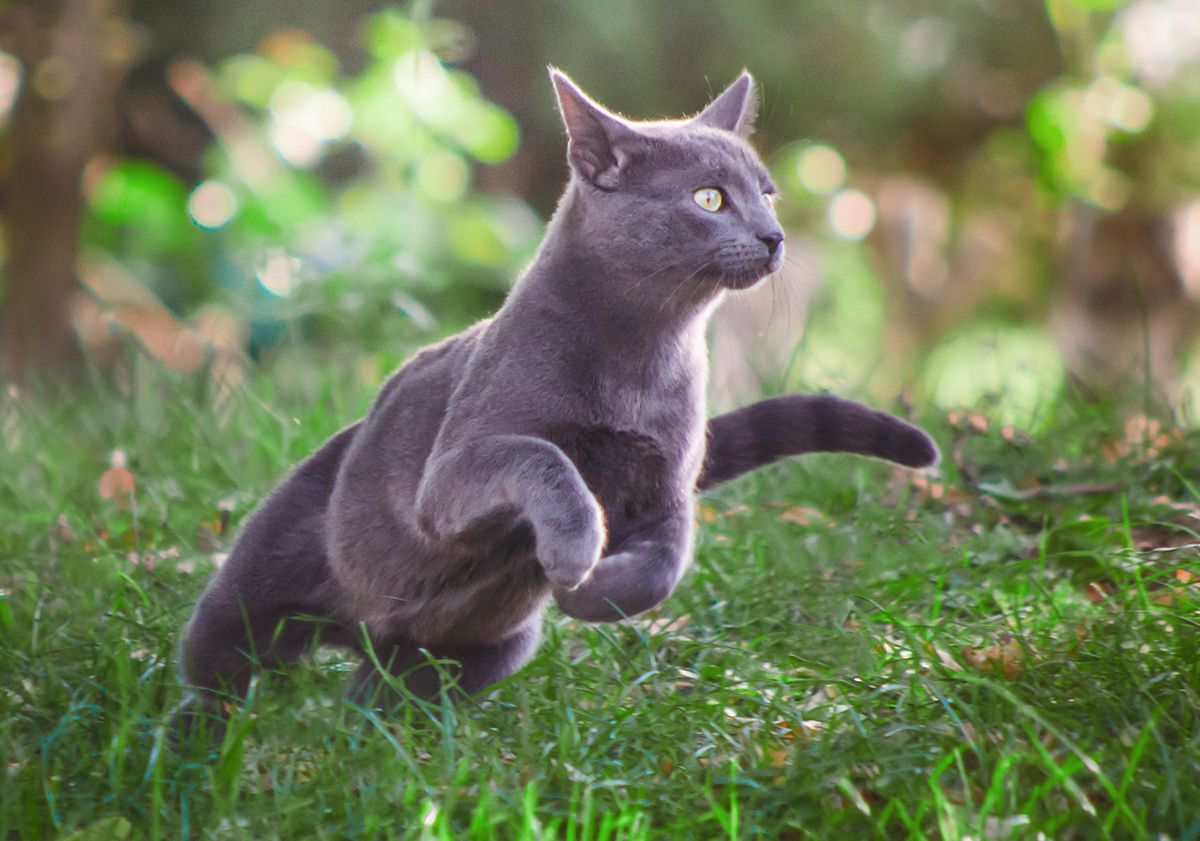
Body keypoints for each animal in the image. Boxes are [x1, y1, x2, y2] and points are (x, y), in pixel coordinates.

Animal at [175, 68, 936, 719]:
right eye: (710, 198)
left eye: (767, 193)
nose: (773, 236)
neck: (639, 354)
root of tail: (360, 632)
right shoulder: (450, 476)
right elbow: (541, 454)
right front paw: (573, 549)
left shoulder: (666, 487)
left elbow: (666, 563)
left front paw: (593, 594)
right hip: (259, 582)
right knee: (219, 661)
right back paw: (199, 740)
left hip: (473, 652)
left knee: (381, 701)